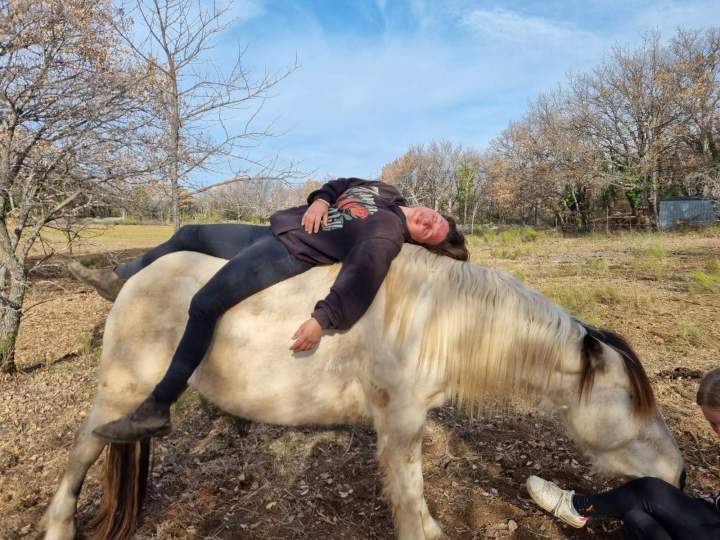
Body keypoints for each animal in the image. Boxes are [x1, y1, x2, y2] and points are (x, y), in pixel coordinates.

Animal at [41, 244, 685, 540]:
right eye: (631, 402)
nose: (678, 474)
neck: (433, 319)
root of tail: (135, 277)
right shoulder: (400, 423)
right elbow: (411, 498)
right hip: (119, 394)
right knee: (79, 457)